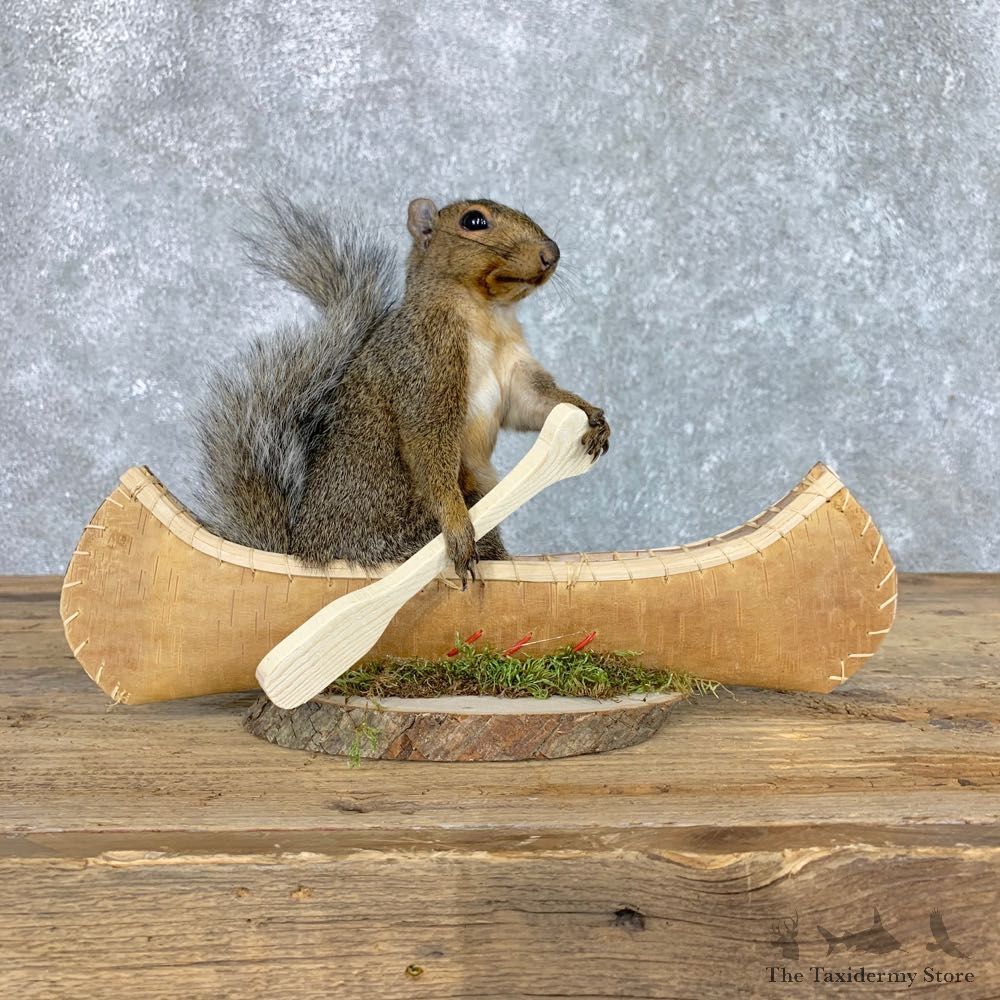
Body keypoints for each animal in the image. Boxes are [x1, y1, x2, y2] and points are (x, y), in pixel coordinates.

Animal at [194, 192, 610, 586]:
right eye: (474, 221)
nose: (551, 253)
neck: (487, 315)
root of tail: (305, 552)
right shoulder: (424, 366)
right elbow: (429, 444)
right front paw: (456, 525)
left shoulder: (514, 371)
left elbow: (534, 402)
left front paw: (592, 416)